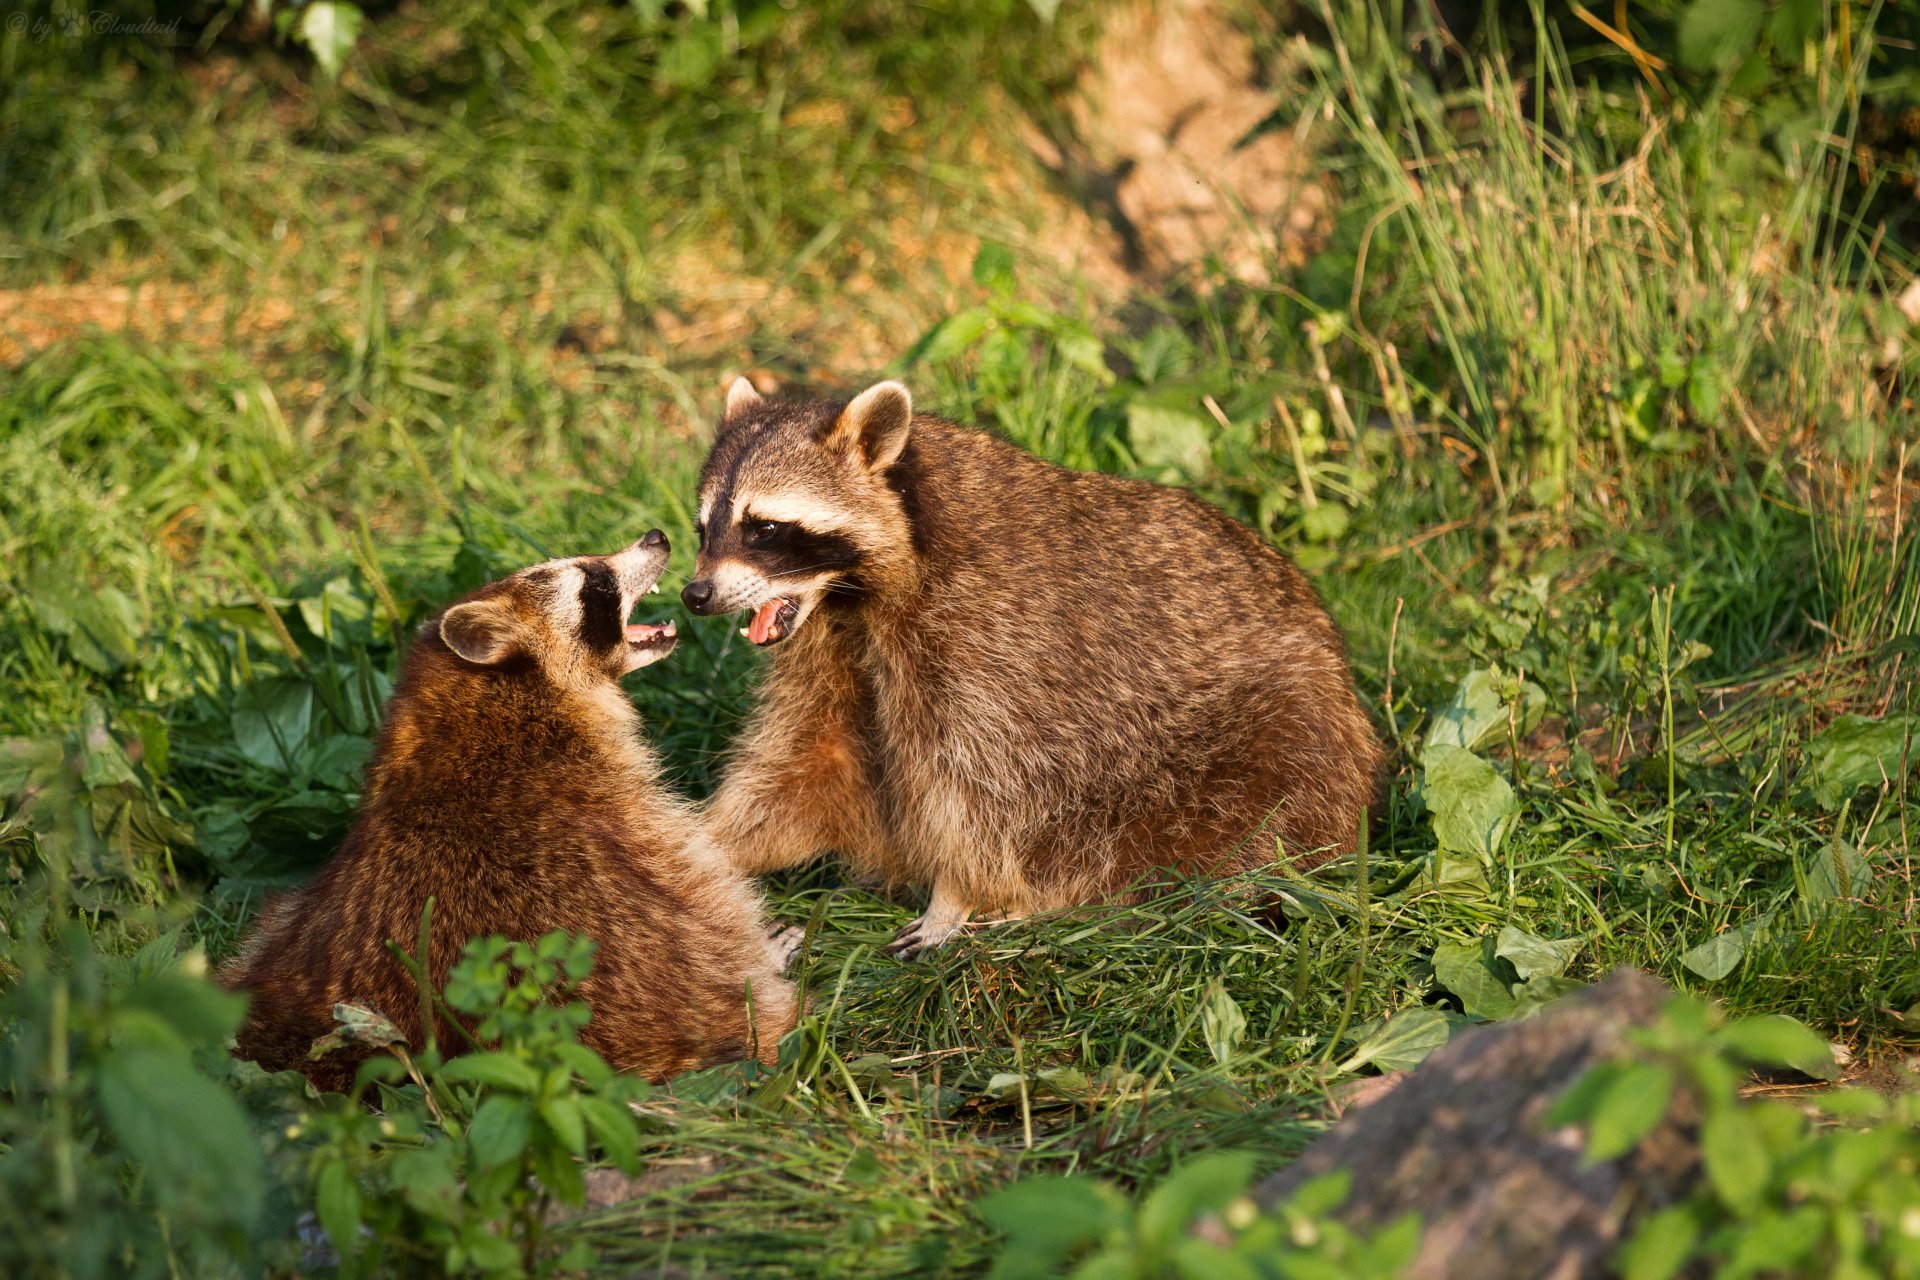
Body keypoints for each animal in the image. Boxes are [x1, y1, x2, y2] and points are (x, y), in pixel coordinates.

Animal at [682, 378, 1385, 955]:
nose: (695, 595)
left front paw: (954, 896)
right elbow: (805, 762)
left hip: (1275, 747)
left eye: (765, 528)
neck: (852, 599)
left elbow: (982, 794)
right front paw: (704, 844)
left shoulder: (992, 647)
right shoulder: (831, 653)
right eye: (703, 530)